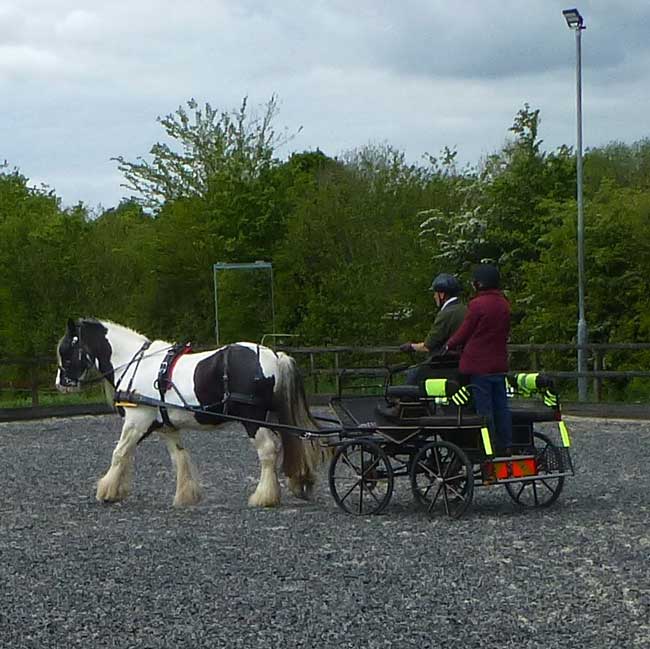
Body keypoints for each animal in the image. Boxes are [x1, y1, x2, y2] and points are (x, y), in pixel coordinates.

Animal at [54, 318, 322, 506]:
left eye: (66, 351)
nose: (60, 383)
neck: (135, 364)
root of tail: (273, 355)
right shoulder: (165, 427)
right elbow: (178, 457)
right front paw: (186, 495)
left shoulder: (137, 421)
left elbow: (119, 453)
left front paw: (107, 491)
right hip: (272, 416)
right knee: (292, 442)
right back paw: (299, 484)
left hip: (252, 419)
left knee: (267, 451)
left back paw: (264, 496)